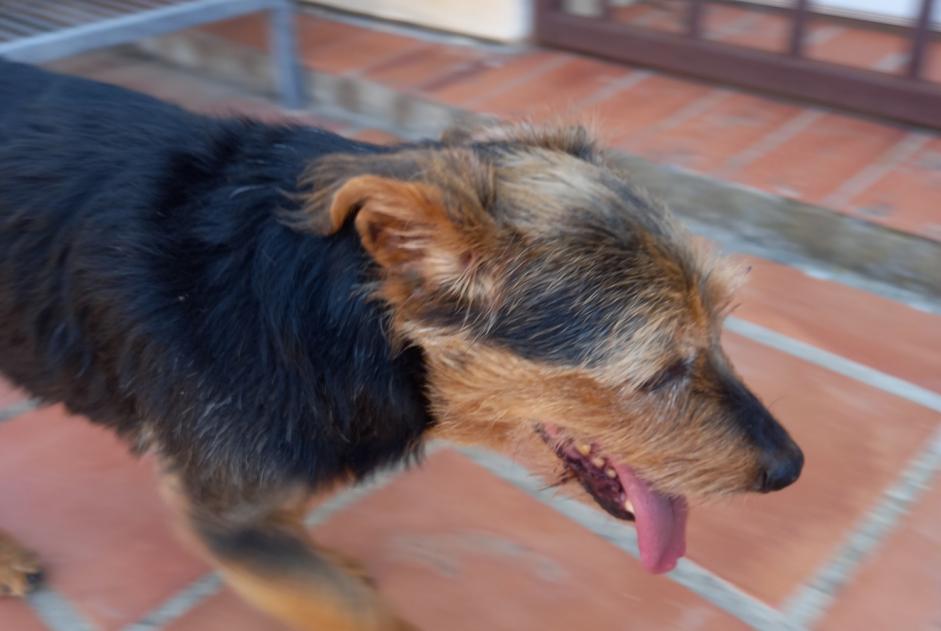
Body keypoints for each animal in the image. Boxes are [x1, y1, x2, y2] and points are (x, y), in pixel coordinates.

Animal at [0, 56, 804, 628]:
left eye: (720, 328)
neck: (335, 318)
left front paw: (326, 556)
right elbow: (353, 611)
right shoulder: (225, 515)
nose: (791, 468)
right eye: (659, 372)